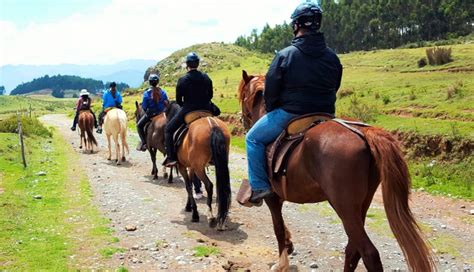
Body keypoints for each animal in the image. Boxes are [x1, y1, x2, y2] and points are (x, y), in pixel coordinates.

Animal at [239, 70, 436, 272]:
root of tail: (365, 134)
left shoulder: (272, 198)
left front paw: (282, 263)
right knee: (353, 250)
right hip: (360, 205)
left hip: (345, 208)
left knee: (368, 253)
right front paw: (289, 244)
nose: (243, 121)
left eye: (242, 95)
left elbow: (277, 228)